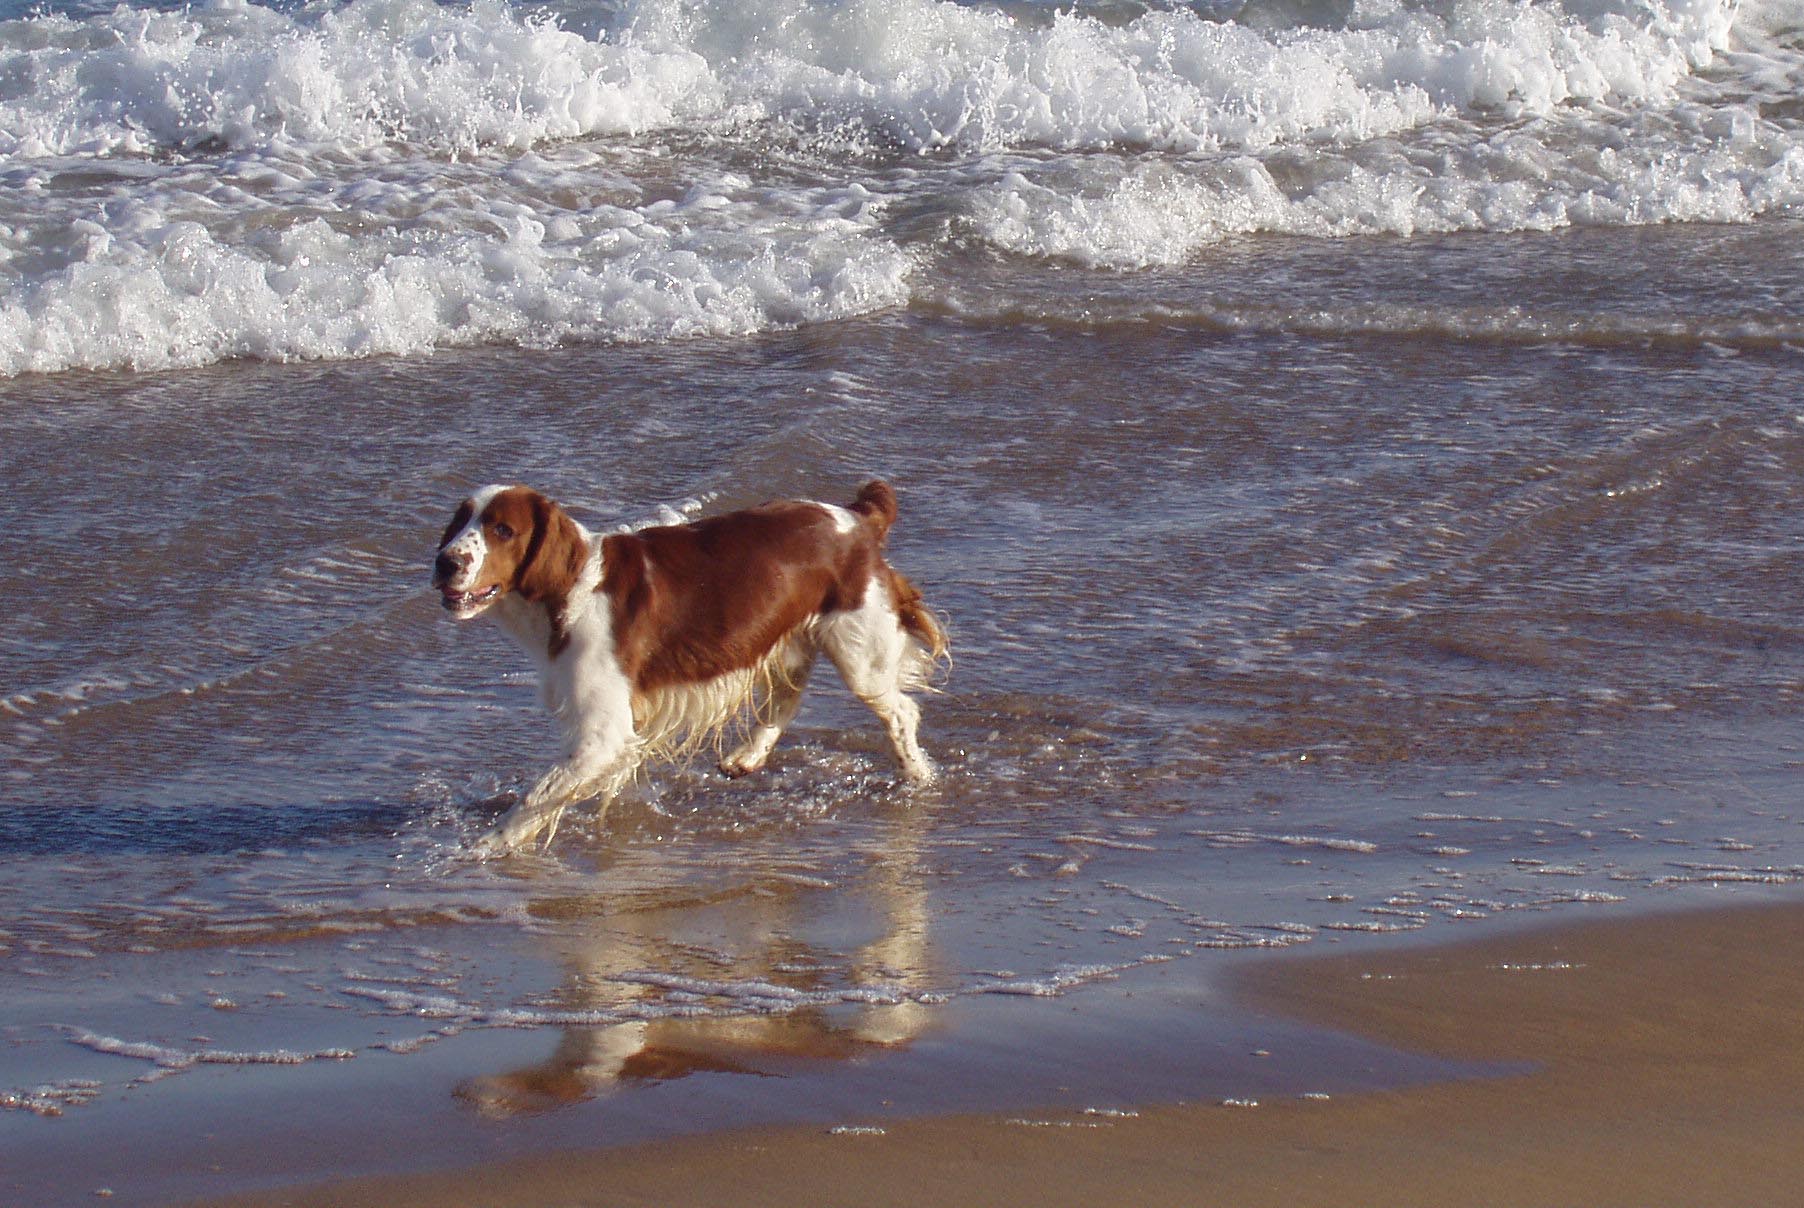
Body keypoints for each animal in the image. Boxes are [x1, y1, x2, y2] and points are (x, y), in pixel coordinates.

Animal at [431, 479, 952, 858]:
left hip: (859, 652)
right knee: (789, 695)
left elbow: (537, 795)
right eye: (457, 523)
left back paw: (917, 779)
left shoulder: (602, 732)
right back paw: (747, 757)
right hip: (789, 637)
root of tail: (858, 516)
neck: (570, 588)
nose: (443, 562)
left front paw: (480, 848)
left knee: (900, 713)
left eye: (502, 530)